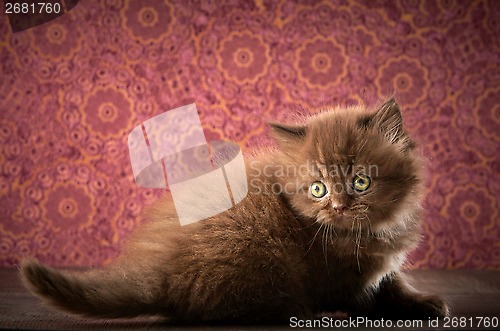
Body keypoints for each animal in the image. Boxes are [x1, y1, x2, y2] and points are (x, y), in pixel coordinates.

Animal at [20, 100, 450, 324]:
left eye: (361, 182)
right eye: (318, 189)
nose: (340, 206)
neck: (368, 234)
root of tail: (163, 272)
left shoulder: (381, 268)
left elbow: (392, 284)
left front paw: (425, 302)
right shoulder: (337, 278)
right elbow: (363, 298)